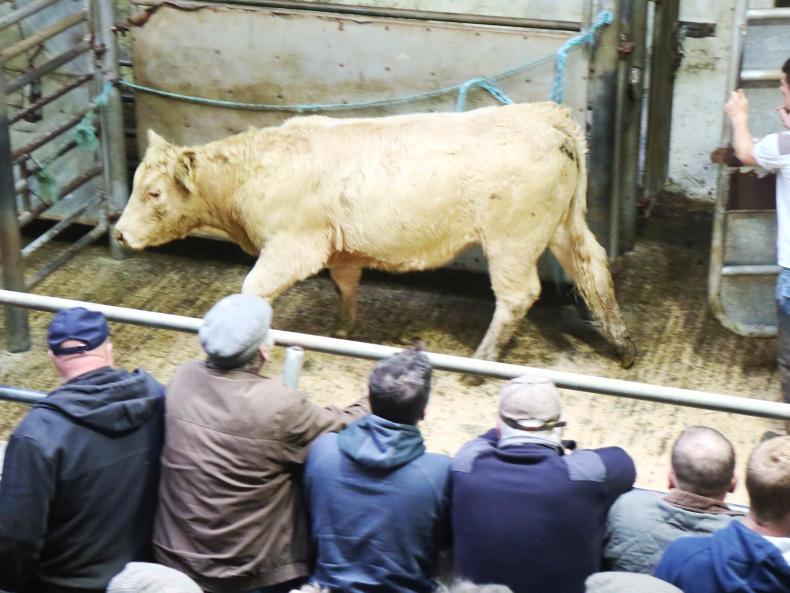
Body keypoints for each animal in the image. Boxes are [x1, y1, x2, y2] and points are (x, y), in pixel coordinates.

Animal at [115, 102, 636, 367]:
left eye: (154, 192)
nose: (119, 234)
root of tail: (545, 117)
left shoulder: (294, 245)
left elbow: (253, 290)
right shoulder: (341, 247)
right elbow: (345, 284)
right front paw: (343, 328)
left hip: (512, 238)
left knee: (518, 294)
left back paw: (483, 360)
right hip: (562, 226)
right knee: (593, 268)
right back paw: (622, 345)